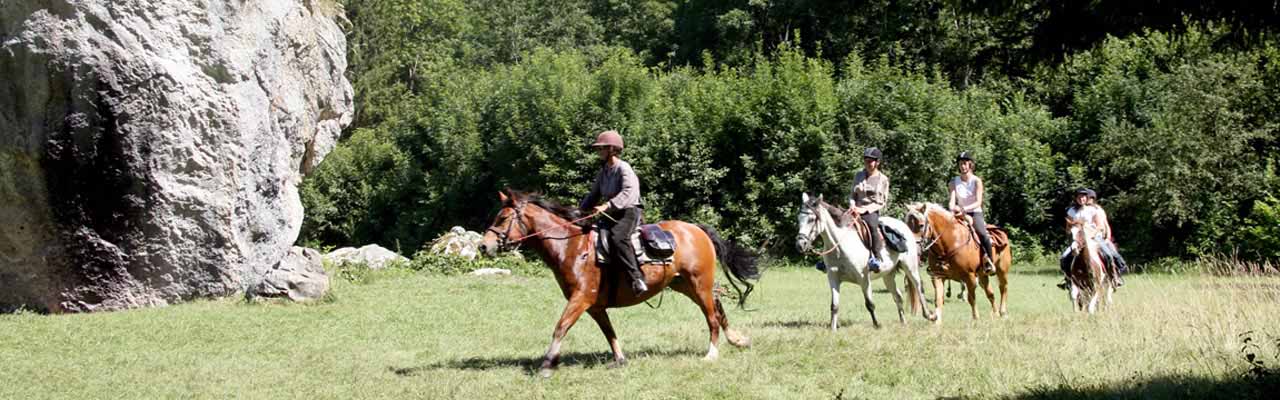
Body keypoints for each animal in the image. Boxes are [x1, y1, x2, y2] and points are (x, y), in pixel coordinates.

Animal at [481, 188, 757, 376]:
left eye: (502, 219)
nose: (484, 246)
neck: (572, 247)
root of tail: (697, 229)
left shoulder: (580, 299)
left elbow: (560, 327)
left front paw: (548, 364)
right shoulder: (594, 306)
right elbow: (609, 332)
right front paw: (620, 359)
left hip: (699, 284)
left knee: (711, 316)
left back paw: (712, 354)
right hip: (685, 285)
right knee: (718, 307)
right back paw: (737, 340)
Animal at [793, 193, 936, 328]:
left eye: (812, 219)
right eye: (799, 219)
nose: (800, 245)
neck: (840, 245)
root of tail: (904, 227)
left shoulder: (864, 279)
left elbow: (870, 304)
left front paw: (877, 325)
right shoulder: (833, 278)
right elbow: (834, 306)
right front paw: (833, 329)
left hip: (910, 267)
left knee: (919, 288)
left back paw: (930, 316)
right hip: (888, 275)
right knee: (898, 296)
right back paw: (903, 322)